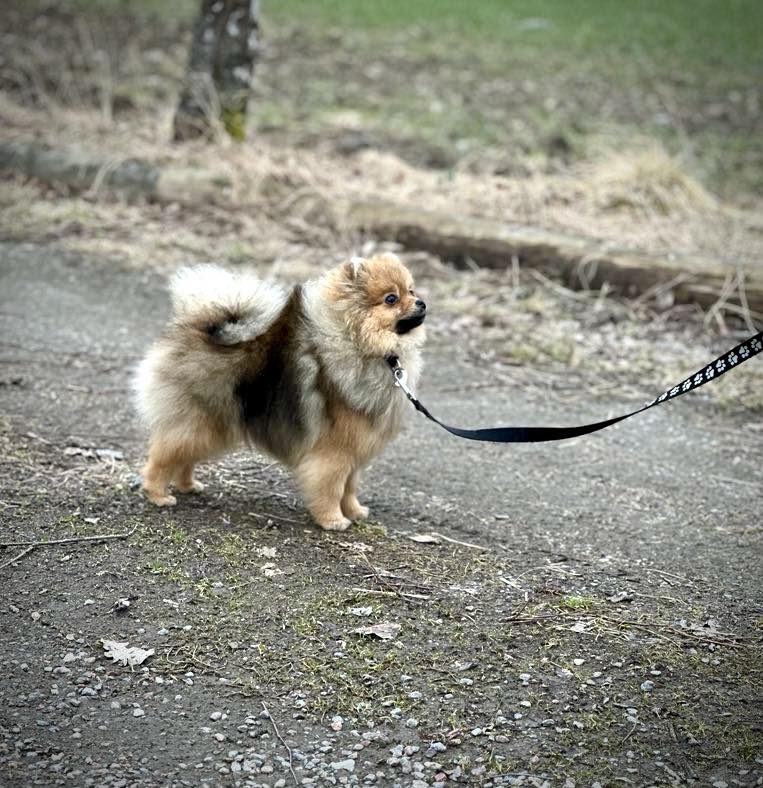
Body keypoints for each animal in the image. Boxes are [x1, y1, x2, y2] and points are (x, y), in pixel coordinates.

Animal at [133, 253, 426, 530]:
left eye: (411, 291)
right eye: (391, 299)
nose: (421, 303)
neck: (363, 345)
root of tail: (198, 328)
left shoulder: (355, 452)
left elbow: (349, 488)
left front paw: (354, 511)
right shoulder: (334, 452)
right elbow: (332, 488)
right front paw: (333, 520)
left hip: (211, 427)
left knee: (184, 457)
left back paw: (188, 485)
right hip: (198, 423)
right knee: (162, 457)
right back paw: (158, 494)